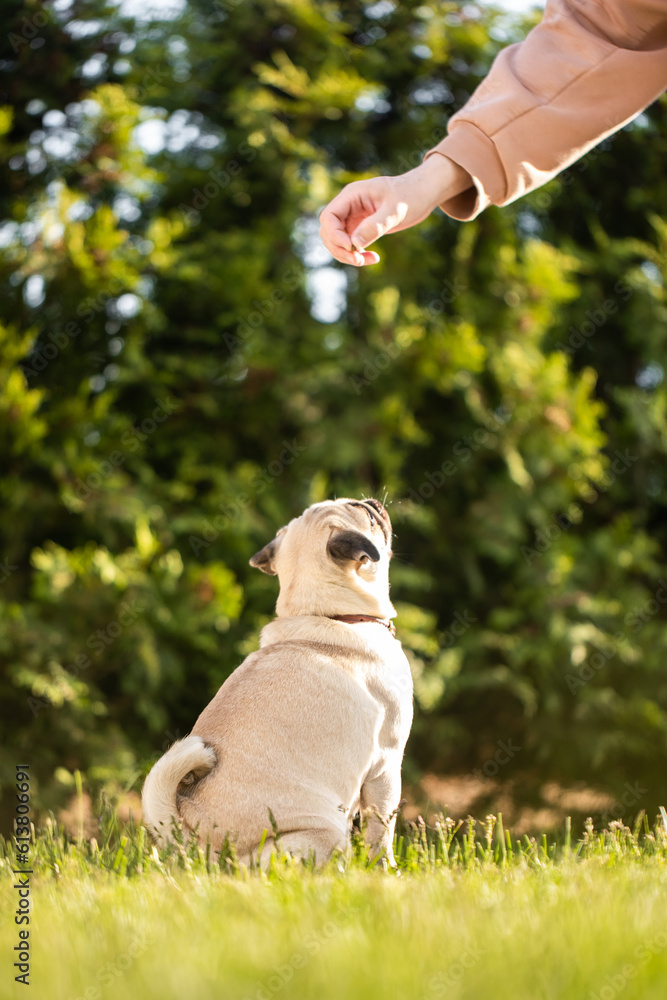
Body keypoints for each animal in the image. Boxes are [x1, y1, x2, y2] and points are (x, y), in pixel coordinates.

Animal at [142, 500, 412, 868]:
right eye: (365, 514)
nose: (374, 503)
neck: (326, 614)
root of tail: (196, 844)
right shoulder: (387, 765)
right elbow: (381, 834)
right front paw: (386, 871)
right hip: (325, 831)